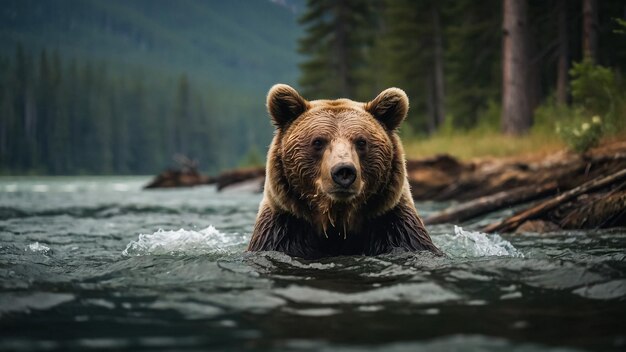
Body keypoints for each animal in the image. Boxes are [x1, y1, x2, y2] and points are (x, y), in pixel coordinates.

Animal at [246, 83, 442, 258]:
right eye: (318, 141)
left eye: (361, 141)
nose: (344, 171)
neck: (338, 223)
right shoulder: (283, 231)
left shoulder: (395, 229)